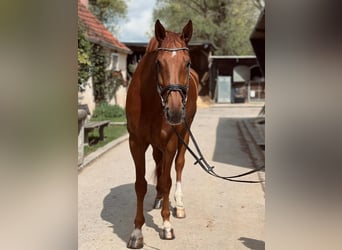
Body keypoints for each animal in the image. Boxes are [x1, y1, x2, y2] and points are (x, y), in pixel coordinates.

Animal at [126, 20, 199, 249]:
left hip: (184, 135)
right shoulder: (136, 143)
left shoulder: (170, 142)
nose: (174, 111)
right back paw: (158, 198)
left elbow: (167, 180)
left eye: (187, 63)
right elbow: (140, 185)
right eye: (158, 63)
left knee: (178, 166)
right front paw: (137, 232)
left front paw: (167, 226)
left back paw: (179, 205)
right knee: (158, 163)